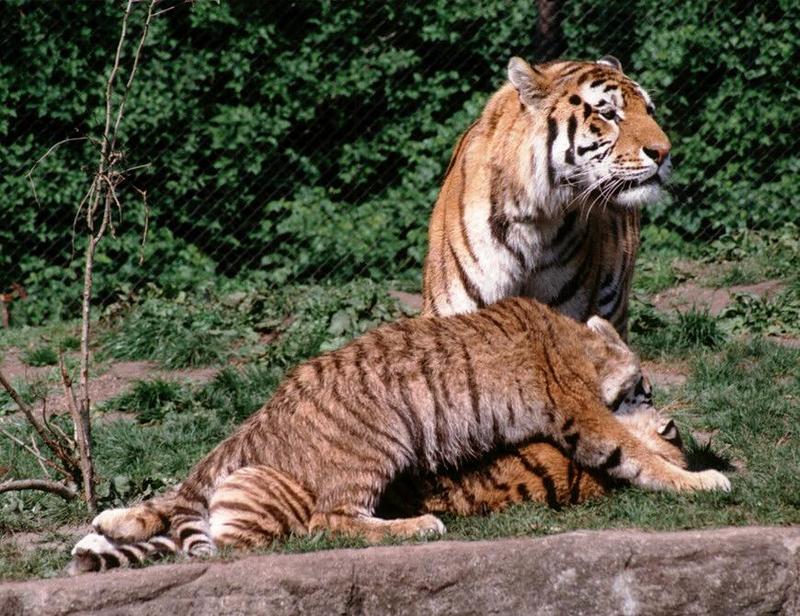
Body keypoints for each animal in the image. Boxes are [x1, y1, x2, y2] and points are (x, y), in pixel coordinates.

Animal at [72, 298, 728, 572]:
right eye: (644, 385)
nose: (659, 403)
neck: (580, 345)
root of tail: (272, 405)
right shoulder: (584, 416)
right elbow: (634, 452)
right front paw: (705, 478)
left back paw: (107, 527)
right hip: (380, 443)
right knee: (329, 521)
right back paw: (419, 526)